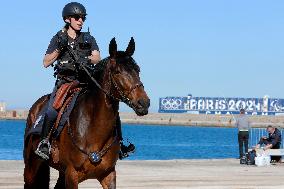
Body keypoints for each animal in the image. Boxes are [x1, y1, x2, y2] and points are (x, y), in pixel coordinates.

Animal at [23, 37, 150, 188]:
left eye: (138, 70)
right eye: (117, 71)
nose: (144, 103)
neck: (93, 129)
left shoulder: (108, 174)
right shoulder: (72, 174)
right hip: (31, 167)